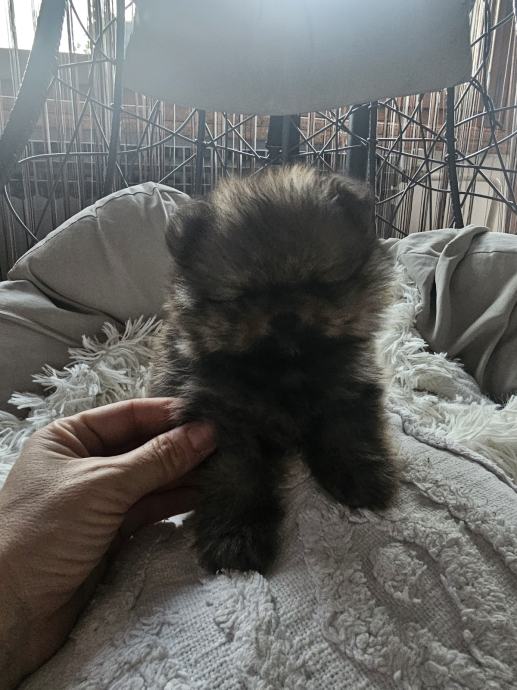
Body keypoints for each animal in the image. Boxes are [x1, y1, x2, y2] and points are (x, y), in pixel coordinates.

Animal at [151, 164, 398, 574]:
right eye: (245, 297)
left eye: (320, 285)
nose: (285, 315)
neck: (284, 374)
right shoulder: (224, 423)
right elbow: (236, 478)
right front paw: (234, 536)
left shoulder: (348, 388)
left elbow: (349, 433)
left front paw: (362, 474)